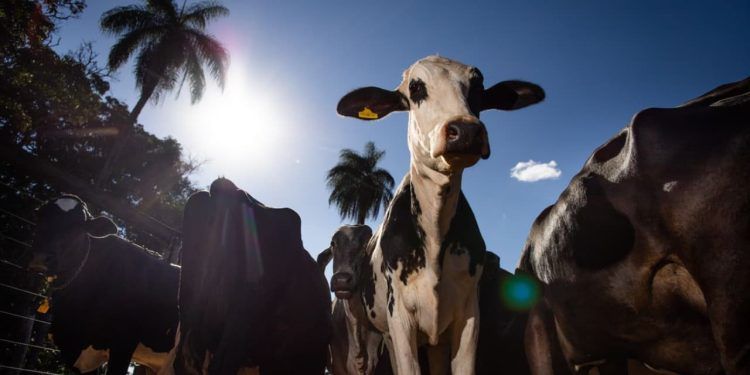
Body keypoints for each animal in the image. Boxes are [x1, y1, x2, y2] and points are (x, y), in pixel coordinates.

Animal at [338, 55, 544, 375]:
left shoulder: (468, 318)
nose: (466, 130)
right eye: (415, 87)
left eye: (478, 86)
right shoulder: (400, 321)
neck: (435, 235)